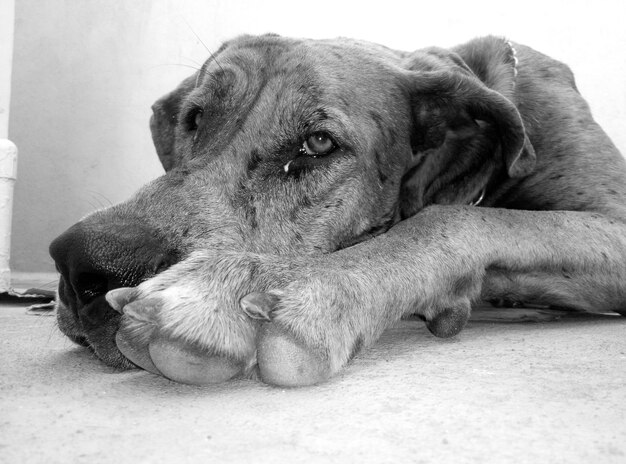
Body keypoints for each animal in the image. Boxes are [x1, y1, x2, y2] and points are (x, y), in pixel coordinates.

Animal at [47, 34, 624, 386]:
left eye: (319, 143)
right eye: (195, 118)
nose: (81, 264)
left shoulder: (612, 224)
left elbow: (448, 218)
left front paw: (262, 287)